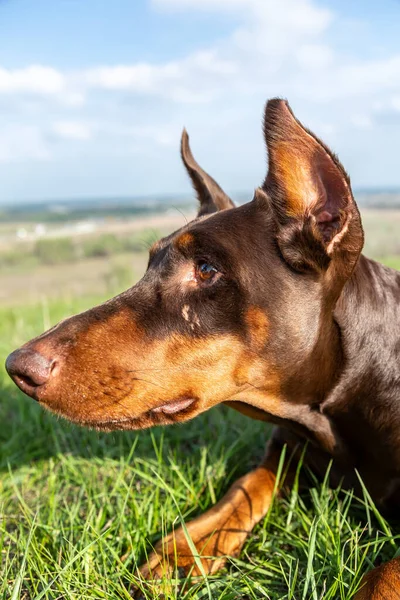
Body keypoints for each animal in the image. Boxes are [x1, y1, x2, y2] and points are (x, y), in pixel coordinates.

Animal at [5, 99, 400, 600]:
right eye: (149, 264)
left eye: (207, 269)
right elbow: (248, 483)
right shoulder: (287, 441)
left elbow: (385, 573)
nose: (18, 367)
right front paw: (187, 548)